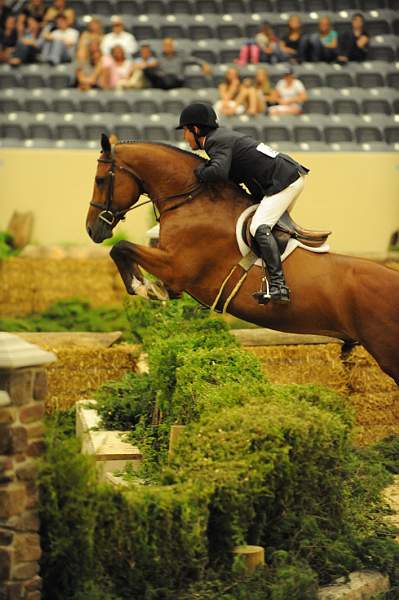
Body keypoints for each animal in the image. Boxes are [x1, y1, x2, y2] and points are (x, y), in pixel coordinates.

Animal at [85, 135, 399, 384]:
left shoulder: (176, 266)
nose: (92, 229)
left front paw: (145, 287)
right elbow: (124, 251)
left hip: (387, 350)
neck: (192, 201)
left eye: (100, 180)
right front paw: (153, 288)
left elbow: (121, 247)